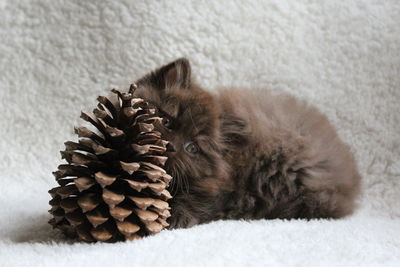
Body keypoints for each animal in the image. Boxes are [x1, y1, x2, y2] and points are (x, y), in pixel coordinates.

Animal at [133, 57, 360, 229]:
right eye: (166, 122)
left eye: (192, 148)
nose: (171, 146)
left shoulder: (224, 190)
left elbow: (200, 201)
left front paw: (177, 216)